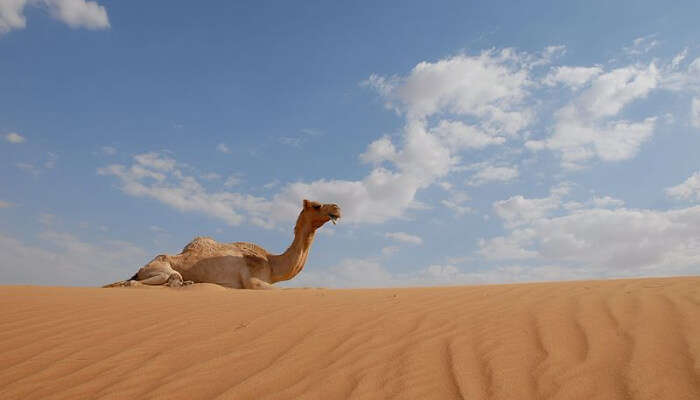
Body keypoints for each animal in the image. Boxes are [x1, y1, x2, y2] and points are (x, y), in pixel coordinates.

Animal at [104, 202, 342, 290]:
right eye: (316, 206)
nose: (337, 207)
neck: (271, 263)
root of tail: (141, 267)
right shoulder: (252, 280)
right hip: (157, 268)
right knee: (148, 280)